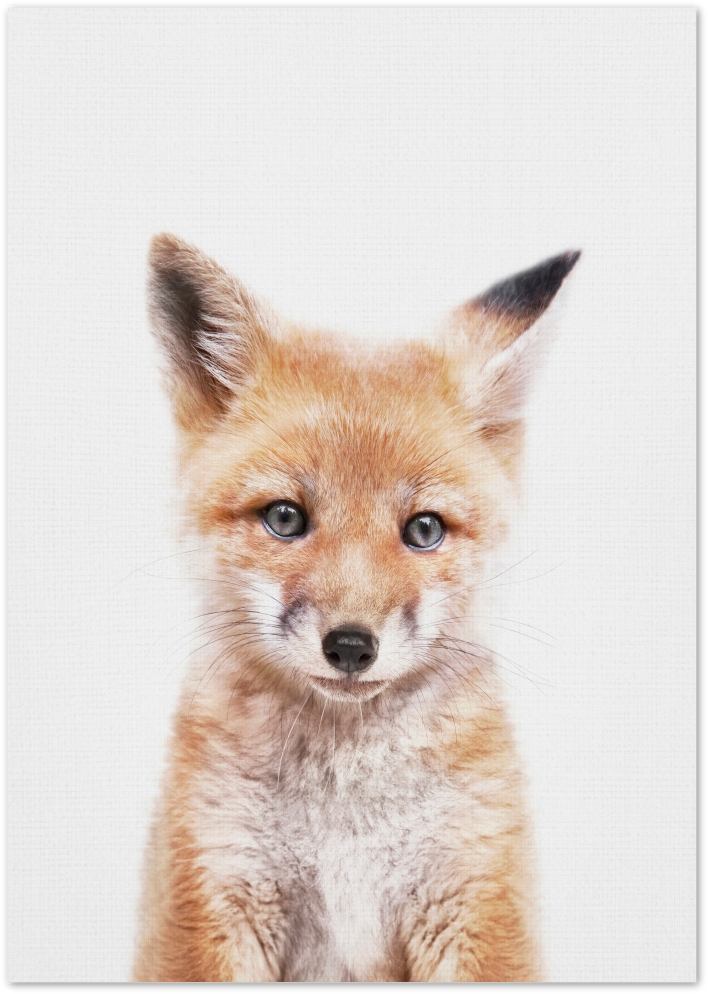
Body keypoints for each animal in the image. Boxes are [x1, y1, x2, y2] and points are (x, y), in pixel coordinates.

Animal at [133, 233, 580, 983]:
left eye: (424, 530)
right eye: (285, 518)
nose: (349, 646)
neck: (346, 818)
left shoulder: (475, 896)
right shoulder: (213, 890)